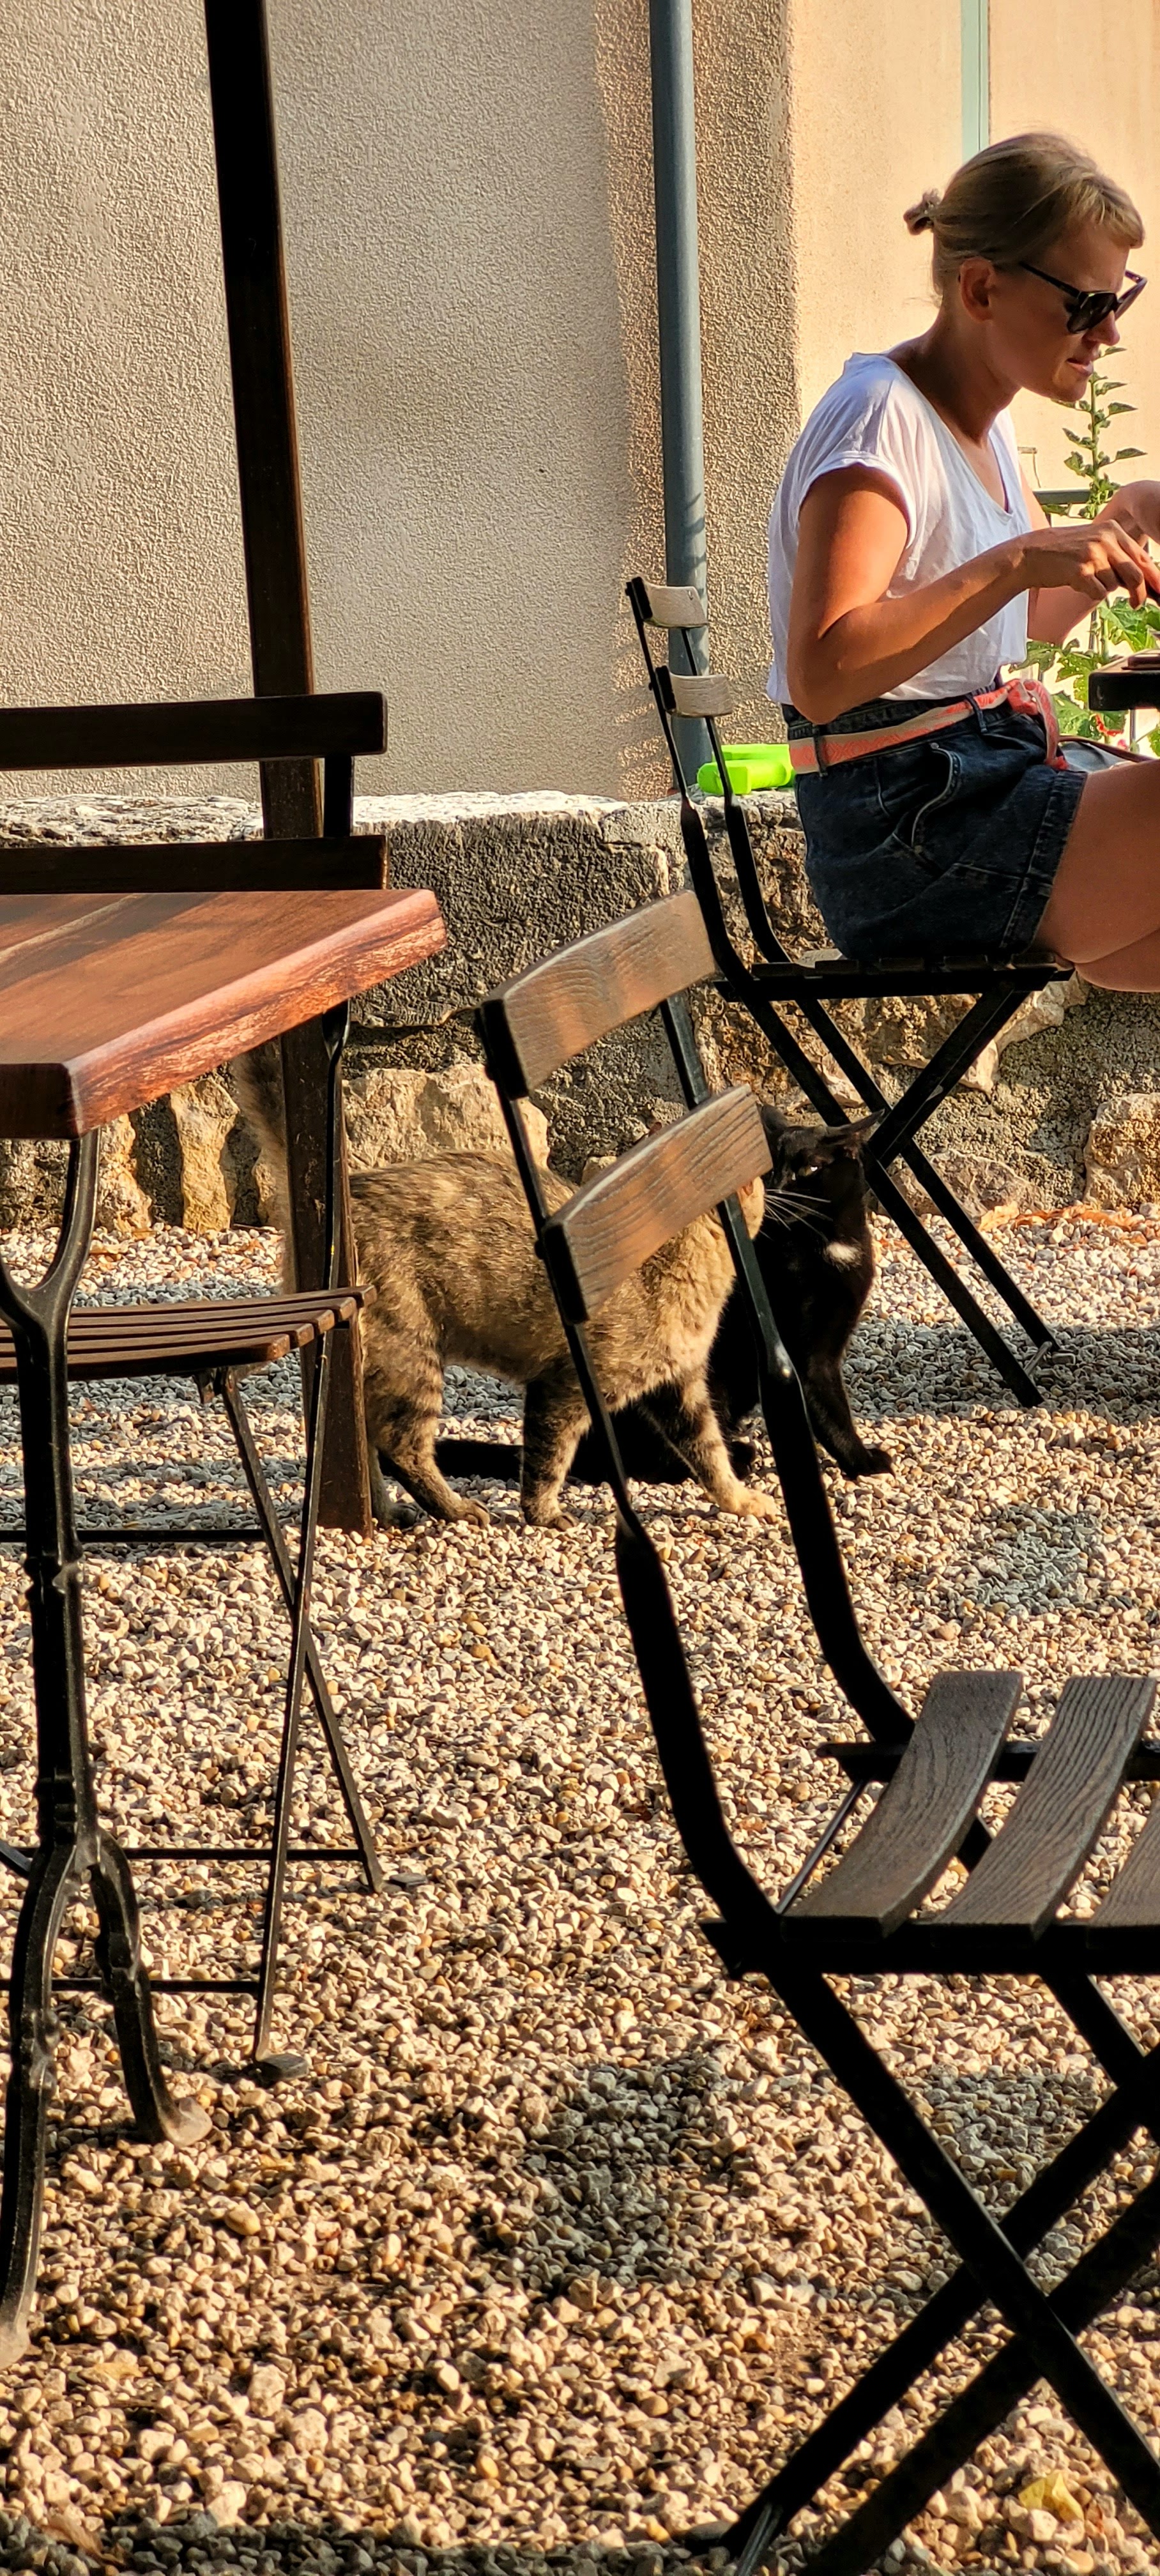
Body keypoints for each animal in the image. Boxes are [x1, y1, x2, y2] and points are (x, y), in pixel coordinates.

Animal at [232, 1045, 774, 1531]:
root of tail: (349, 1194)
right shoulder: (565, 1387)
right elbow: (548, 1460)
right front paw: (543, 1514)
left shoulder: (680, 1387)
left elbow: (709, 1451)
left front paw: (739, 1499)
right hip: (412, 1359)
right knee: (403, 1447)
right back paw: (454, 1509)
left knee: (361, 1442)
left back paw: (386, 1511)